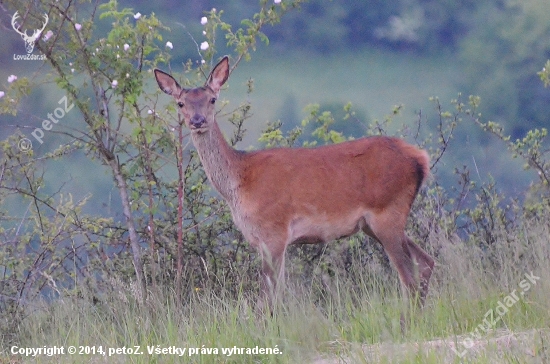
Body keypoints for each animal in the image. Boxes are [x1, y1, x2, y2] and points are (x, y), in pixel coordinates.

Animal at [155, 55, 436, 318]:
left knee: (408, 277)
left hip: (387, 212)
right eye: (181, 103)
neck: (239, 183)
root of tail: (420, 158)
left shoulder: (274, 232)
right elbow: (277, 296)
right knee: (426, 262)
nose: (198, 120)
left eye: (212, 99)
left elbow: (266, 300)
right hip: (375, 223)